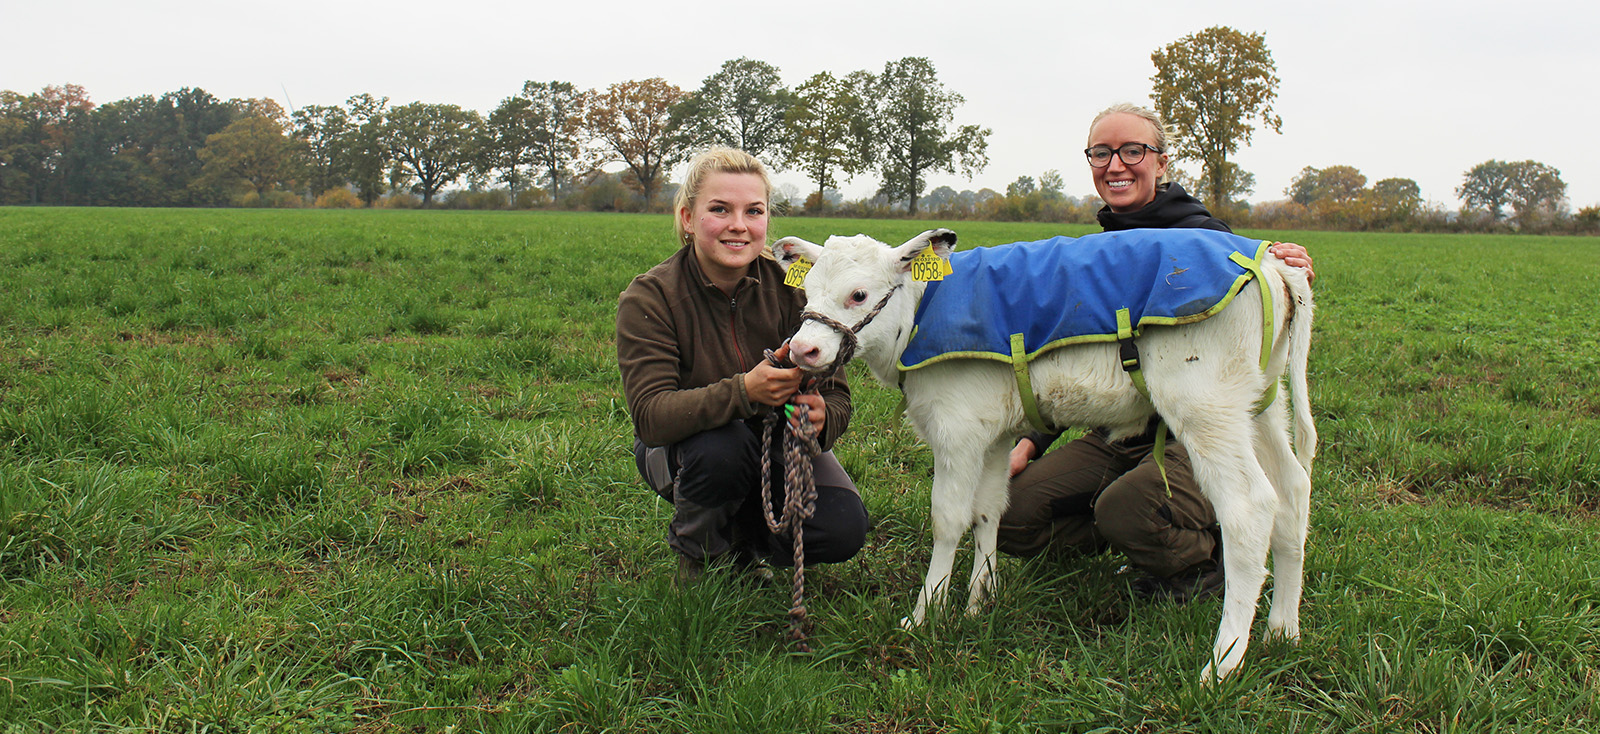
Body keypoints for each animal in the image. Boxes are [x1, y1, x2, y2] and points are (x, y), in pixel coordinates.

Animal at [771, 230, 1312, 684]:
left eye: (859, 295)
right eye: (807, 292)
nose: (803, 350)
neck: (922, 311)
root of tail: (1264, 258)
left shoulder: (957, 429)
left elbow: (948, 519)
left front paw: (925, 615)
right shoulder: (993, 435)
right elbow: (988, 510)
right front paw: (979, 602)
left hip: (1206, 407)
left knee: (1249, 510)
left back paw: (1221, 664)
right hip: (1261, 408)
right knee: (1292, 494)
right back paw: (1283, 632)